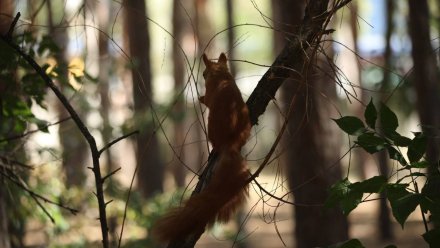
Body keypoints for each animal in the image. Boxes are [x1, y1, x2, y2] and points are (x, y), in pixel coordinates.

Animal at [153, 52, 251, 242]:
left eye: (205, 73)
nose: (203, 75)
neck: (221, 74)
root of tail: (232, 143)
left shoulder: (210, 92)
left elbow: (207, 100)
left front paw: (200, 98)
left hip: (211, 127)